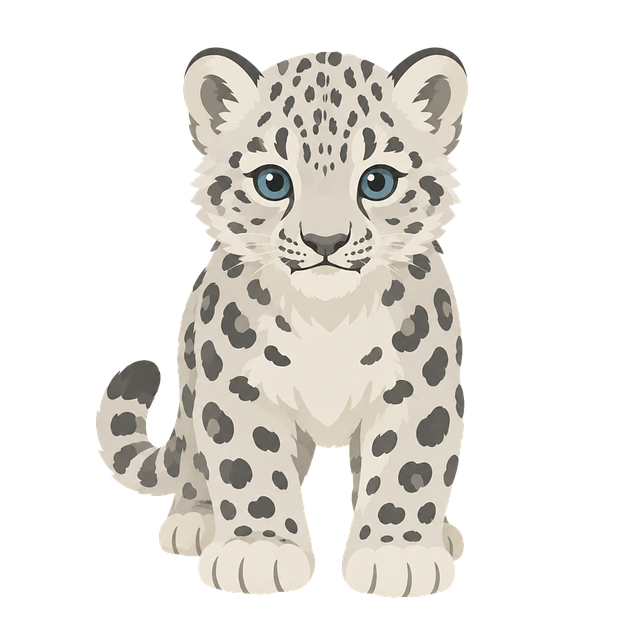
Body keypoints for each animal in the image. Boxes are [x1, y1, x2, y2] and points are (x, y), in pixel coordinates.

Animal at [94, 45, 469, 598]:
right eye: (272, 182)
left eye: (377, 181)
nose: (326, 241)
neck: (329, 317)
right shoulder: (237, 385)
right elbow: (248, 466)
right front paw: (259, 550)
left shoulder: (418, 384)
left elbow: (408, 466)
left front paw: (396, 553)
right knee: (194, 460)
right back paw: (195, 519)